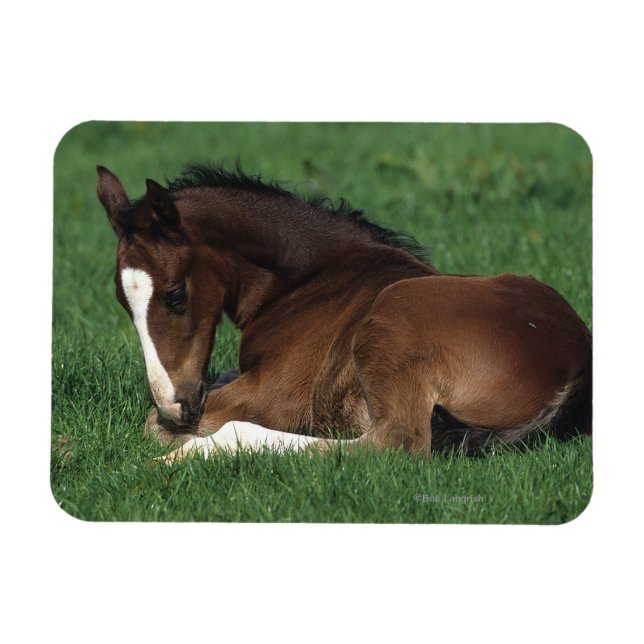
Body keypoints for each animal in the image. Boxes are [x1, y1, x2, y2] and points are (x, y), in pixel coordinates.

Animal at [96, 163, 592, 462]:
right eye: (122, 302)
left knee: (393, 444)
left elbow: (153, 424)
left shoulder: (278, 394)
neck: (308, 279)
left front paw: (181, 436)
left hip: (397, 313)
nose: (175, 407)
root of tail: (576, 362)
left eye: (176, 295)